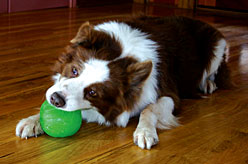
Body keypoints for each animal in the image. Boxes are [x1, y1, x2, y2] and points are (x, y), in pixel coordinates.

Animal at [16, 16, 232, 149]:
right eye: (75, 70)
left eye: (93, 93)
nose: (56, 99)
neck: (124, 55)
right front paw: (33, 121)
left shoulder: (169, 93)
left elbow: (149, 108)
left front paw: (145, 131)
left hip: (217, 47)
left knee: (215, 70)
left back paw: (208, 83)